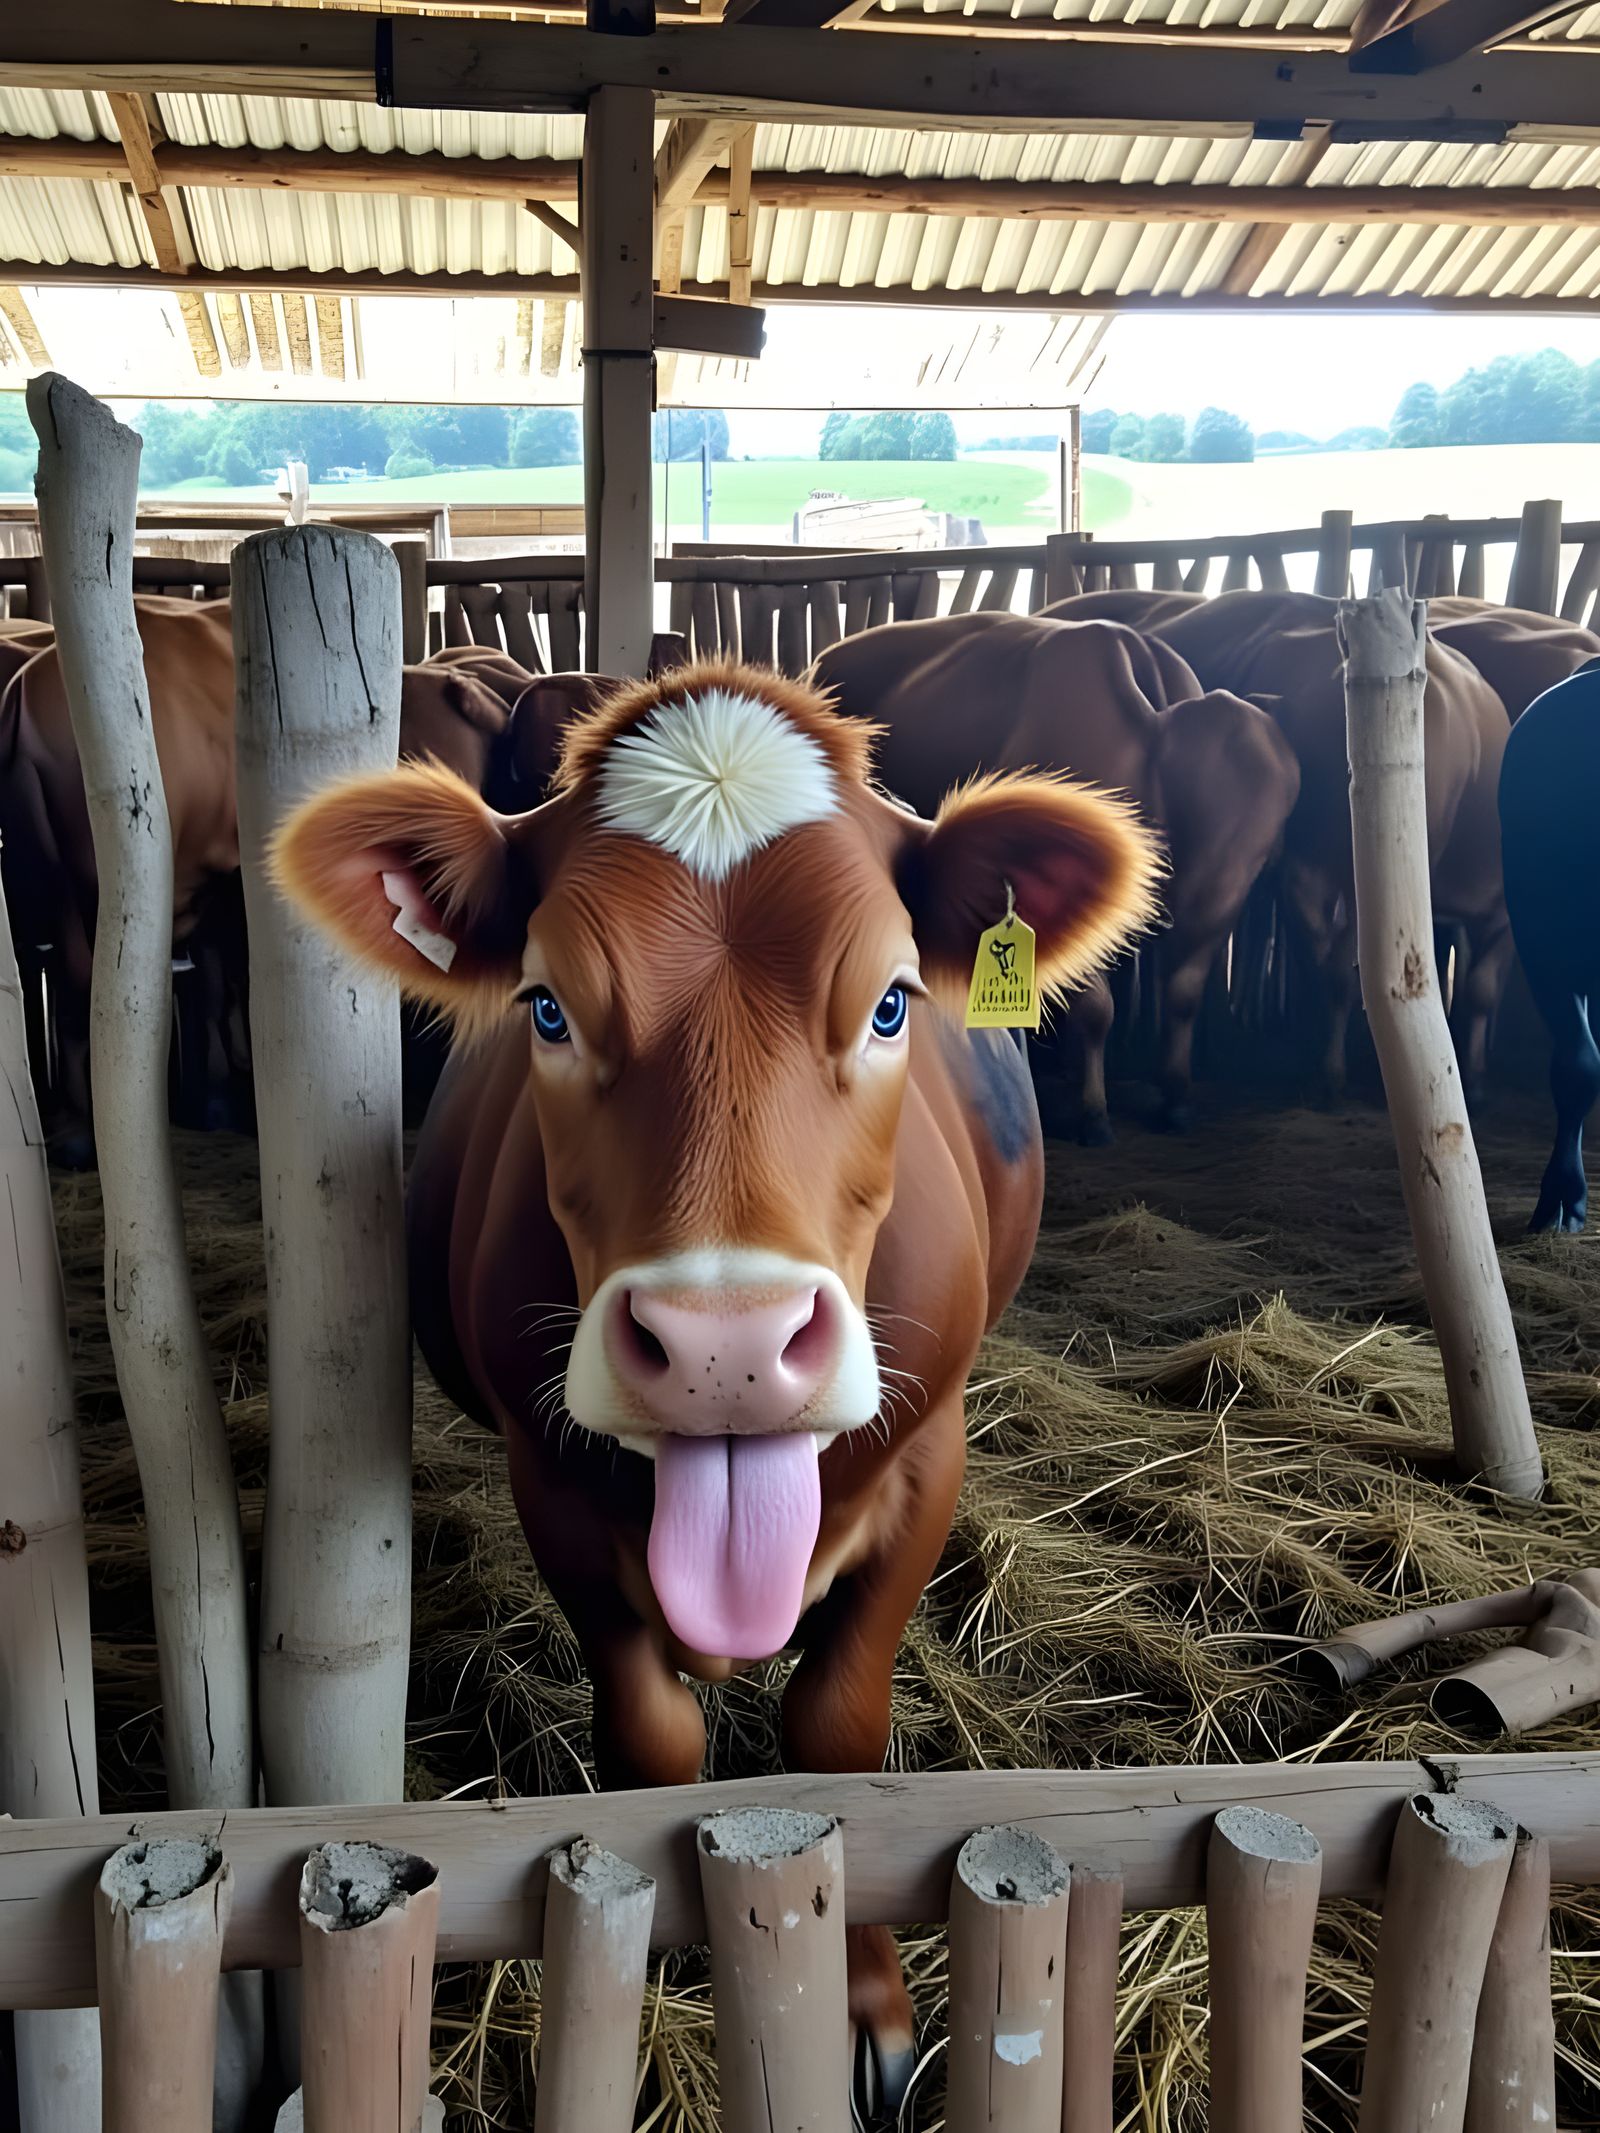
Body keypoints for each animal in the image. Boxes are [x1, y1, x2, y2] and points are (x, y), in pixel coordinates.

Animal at [270, 662, 1162, 2111]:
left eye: (892, 1002)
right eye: (548, 1006)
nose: (721, 1344)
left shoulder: (930, 1458)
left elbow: (838, 1734)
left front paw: (866, 2010)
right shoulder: (550, 1483)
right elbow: (650, 1743)